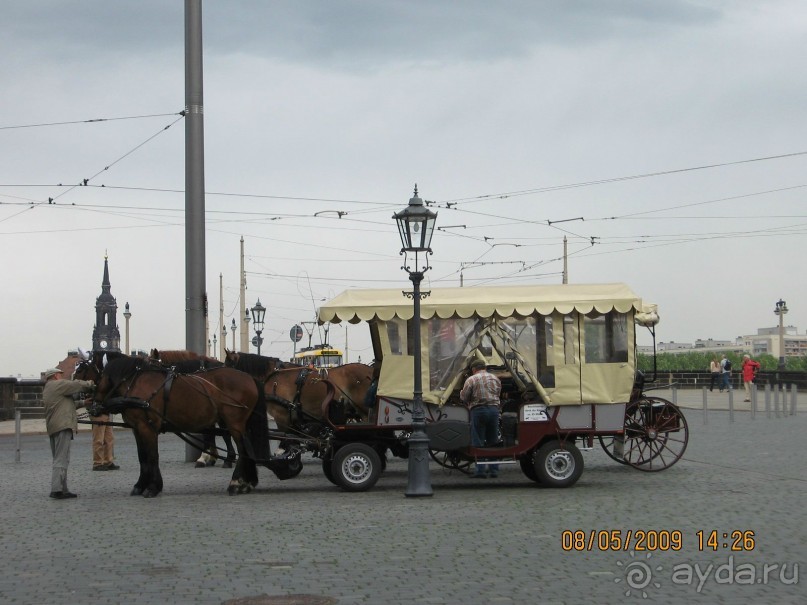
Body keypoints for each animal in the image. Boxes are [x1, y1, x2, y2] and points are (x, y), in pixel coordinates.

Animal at [91, 354, 268, 496]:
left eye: (95, 379)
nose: (93, 408)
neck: (135, 383)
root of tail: (250, 378)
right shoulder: (137, 429)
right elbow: (143, 457)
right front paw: (140, 485)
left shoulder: (147, 428)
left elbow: (152, 456)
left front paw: (153, 487)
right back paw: (246, 482)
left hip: (234, 424)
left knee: (243, 450)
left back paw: (236, 483)